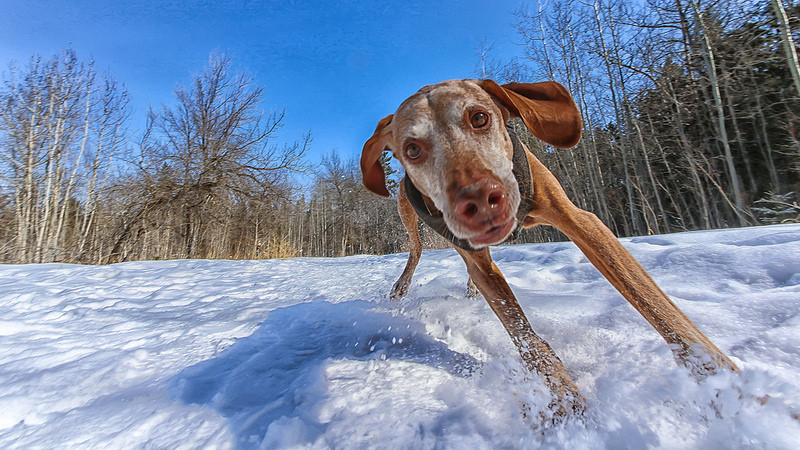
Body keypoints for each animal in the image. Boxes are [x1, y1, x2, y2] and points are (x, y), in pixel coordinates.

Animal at [360, 79, 740, 414]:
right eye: (412, 150)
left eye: (479, 118)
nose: (479, 200)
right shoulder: (477, 260)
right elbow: (522, 333)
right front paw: (563, 397)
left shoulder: (582, 222)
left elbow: (654, 303)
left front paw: (723, 382)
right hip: (407, 212)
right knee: (416, 250)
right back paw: (402, 287)